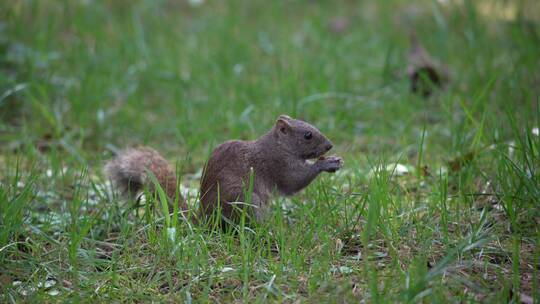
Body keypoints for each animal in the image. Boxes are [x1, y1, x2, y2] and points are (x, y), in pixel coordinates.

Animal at [104, 114, 342, 223]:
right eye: (308, 135)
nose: (329, 146)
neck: (278, 144)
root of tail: (204, 221)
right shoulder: (278, 163)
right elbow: (294, 181)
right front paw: (326, 163)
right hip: (245, 200)